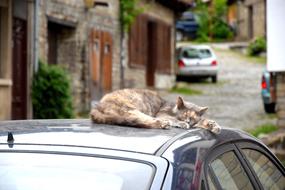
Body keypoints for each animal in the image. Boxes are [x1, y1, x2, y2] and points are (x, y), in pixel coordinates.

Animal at [90, 88, 221, 134]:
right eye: (183, 115)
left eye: (192, 118)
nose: (188, 121)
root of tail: (97, 107)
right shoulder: (161, 113)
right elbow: (173, 119)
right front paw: (182, 123)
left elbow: (202, 121)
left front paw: (213, 125)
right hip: (129, 108)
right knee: (139, 119)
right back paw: (163, 124)